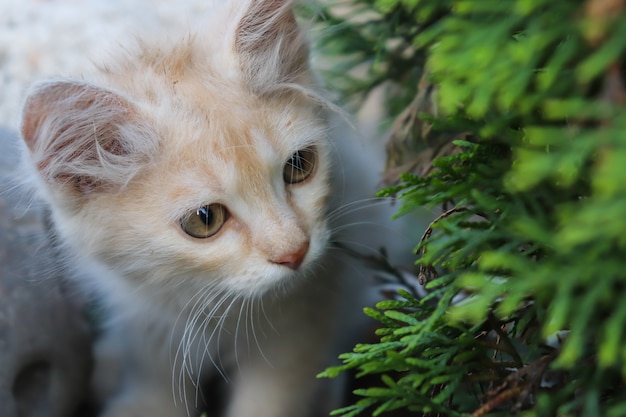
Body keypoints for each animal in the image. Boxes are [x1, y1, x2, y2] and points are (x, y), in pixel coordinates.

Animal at [18, 0, 404, 416]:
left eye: (299, 166)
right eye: (204, 220)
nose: (295, 252)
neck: (203, 302)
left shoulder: (301, 321)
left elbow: (269, 401)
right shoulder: (148, 322)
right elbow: (156, 388)